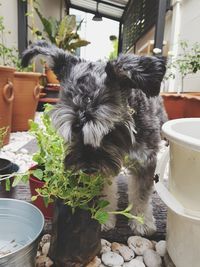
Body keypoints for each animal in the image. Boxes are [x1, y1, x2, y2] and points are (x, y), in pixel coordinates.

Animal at [21, 40, 167, 238]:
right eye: (73, 130)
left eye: (108, 132)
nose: (88, 169)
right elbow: (105, 192)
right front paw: (104, 218)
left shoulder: (145, 159)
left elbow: (141, 194)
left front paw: (141, 221)